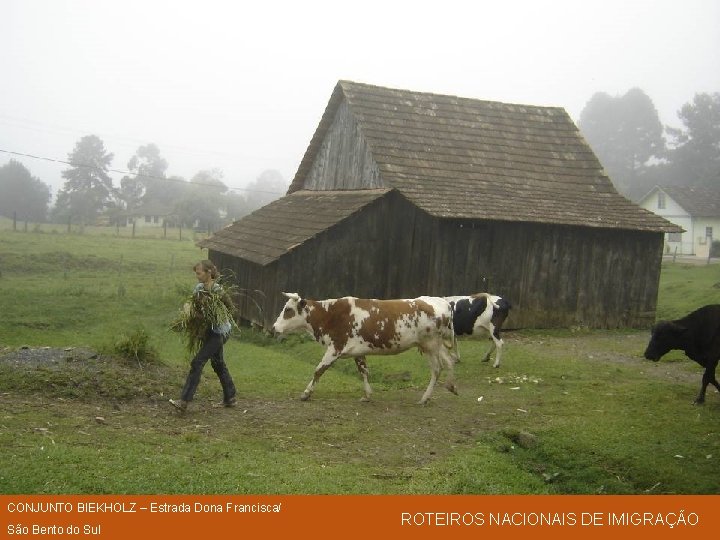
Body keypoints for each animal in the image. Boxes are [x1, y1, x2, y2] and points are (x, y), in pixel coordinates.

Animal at [272, 294, 458, 402]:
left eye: (288, 309)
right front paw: (367, 395)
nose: (274, 328)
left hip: (431, 344)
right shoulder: (357, 351)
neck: (329, 315)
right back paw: (451, 386)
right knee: (449, 361)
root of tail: (443, 302)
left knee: (437, 368)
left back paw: (425, 398)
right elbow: (364, 371)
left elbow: (318, 370)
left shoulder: (335, 347)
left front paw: (306, 393)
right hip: (435, 344)